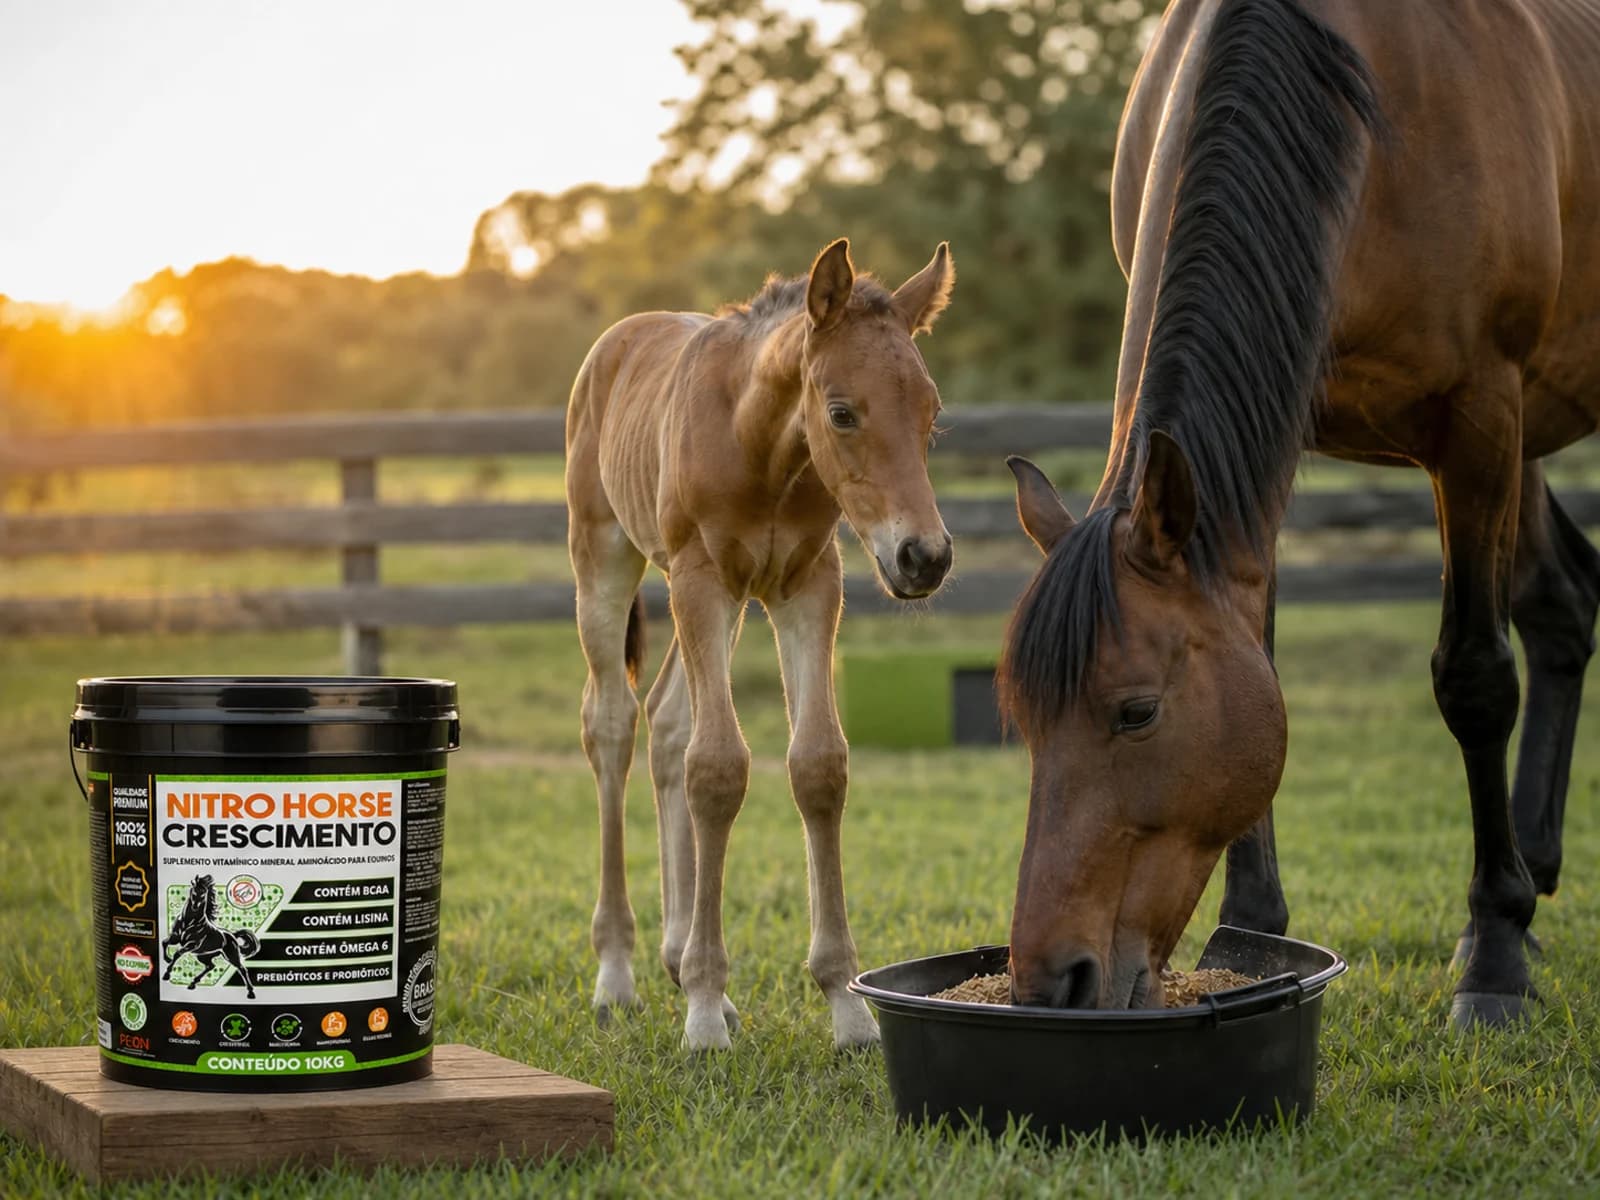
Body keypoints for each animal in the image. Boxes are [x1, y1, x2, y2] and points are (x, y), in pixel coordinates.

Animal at [566, 238, 956, 1049]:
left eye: (931, 412)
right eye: (841, 411)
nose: (924, 557)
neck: (761, 447)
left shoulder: (807, 585)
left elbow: (818, 766)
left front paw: (846, 1006)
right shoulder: (701, 579)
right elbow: (718, 768)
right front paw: (705, 1015)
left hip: (730, 601)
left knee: (666, 720)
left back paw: (675, 956)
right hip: (605, 557)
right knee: (612, 725)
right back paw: (617, 974)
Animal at [999, 0, 1600, 1027]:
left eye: (1136, 712)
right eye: (1026, 720)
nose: (1052, 985)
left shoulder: (1480, 416)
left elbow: (1476, 679)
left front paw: (1492, 959)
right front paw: (1251, 934)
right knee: (1564, 605)